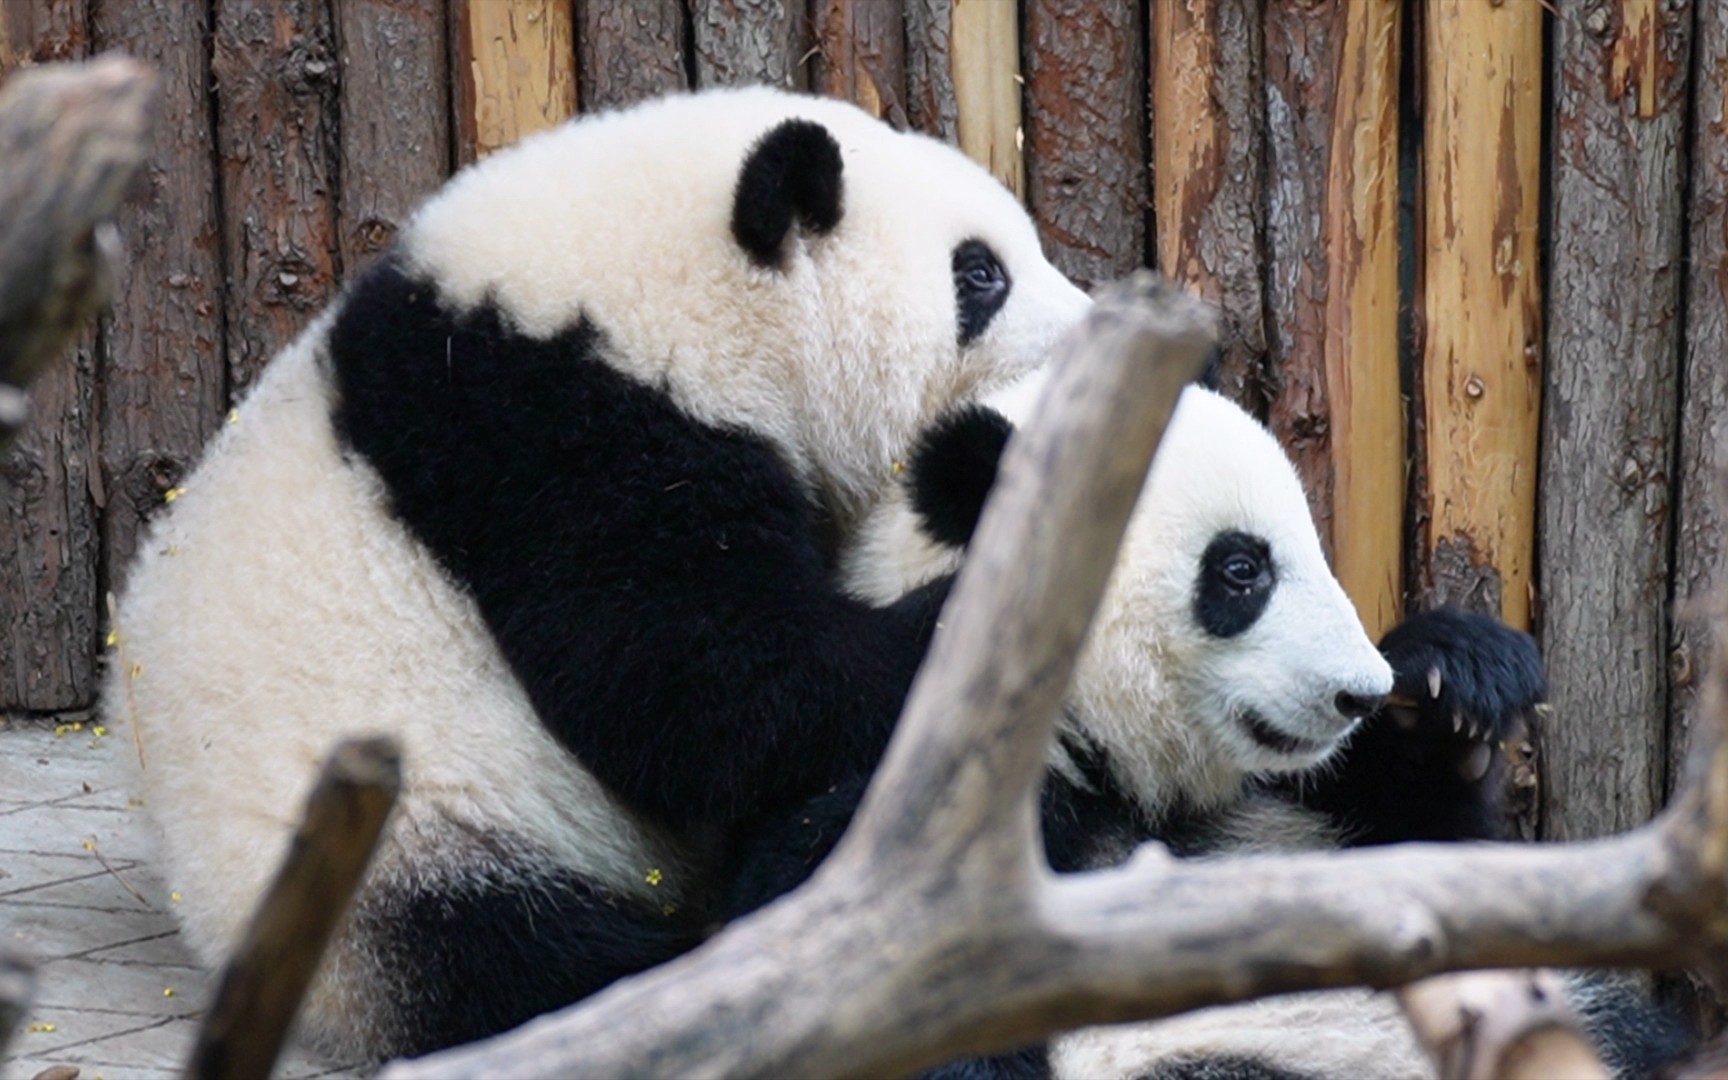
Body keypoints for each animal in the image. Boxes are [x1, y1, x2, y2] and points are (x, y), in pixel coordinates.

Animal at [101, 86, 1085, 1064]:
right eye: (980, 274)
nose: (1081, 330)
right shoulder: (552, 440)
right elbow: (687, 685)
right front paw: (963, 621)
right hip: (402, 843)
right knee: (526, 957)